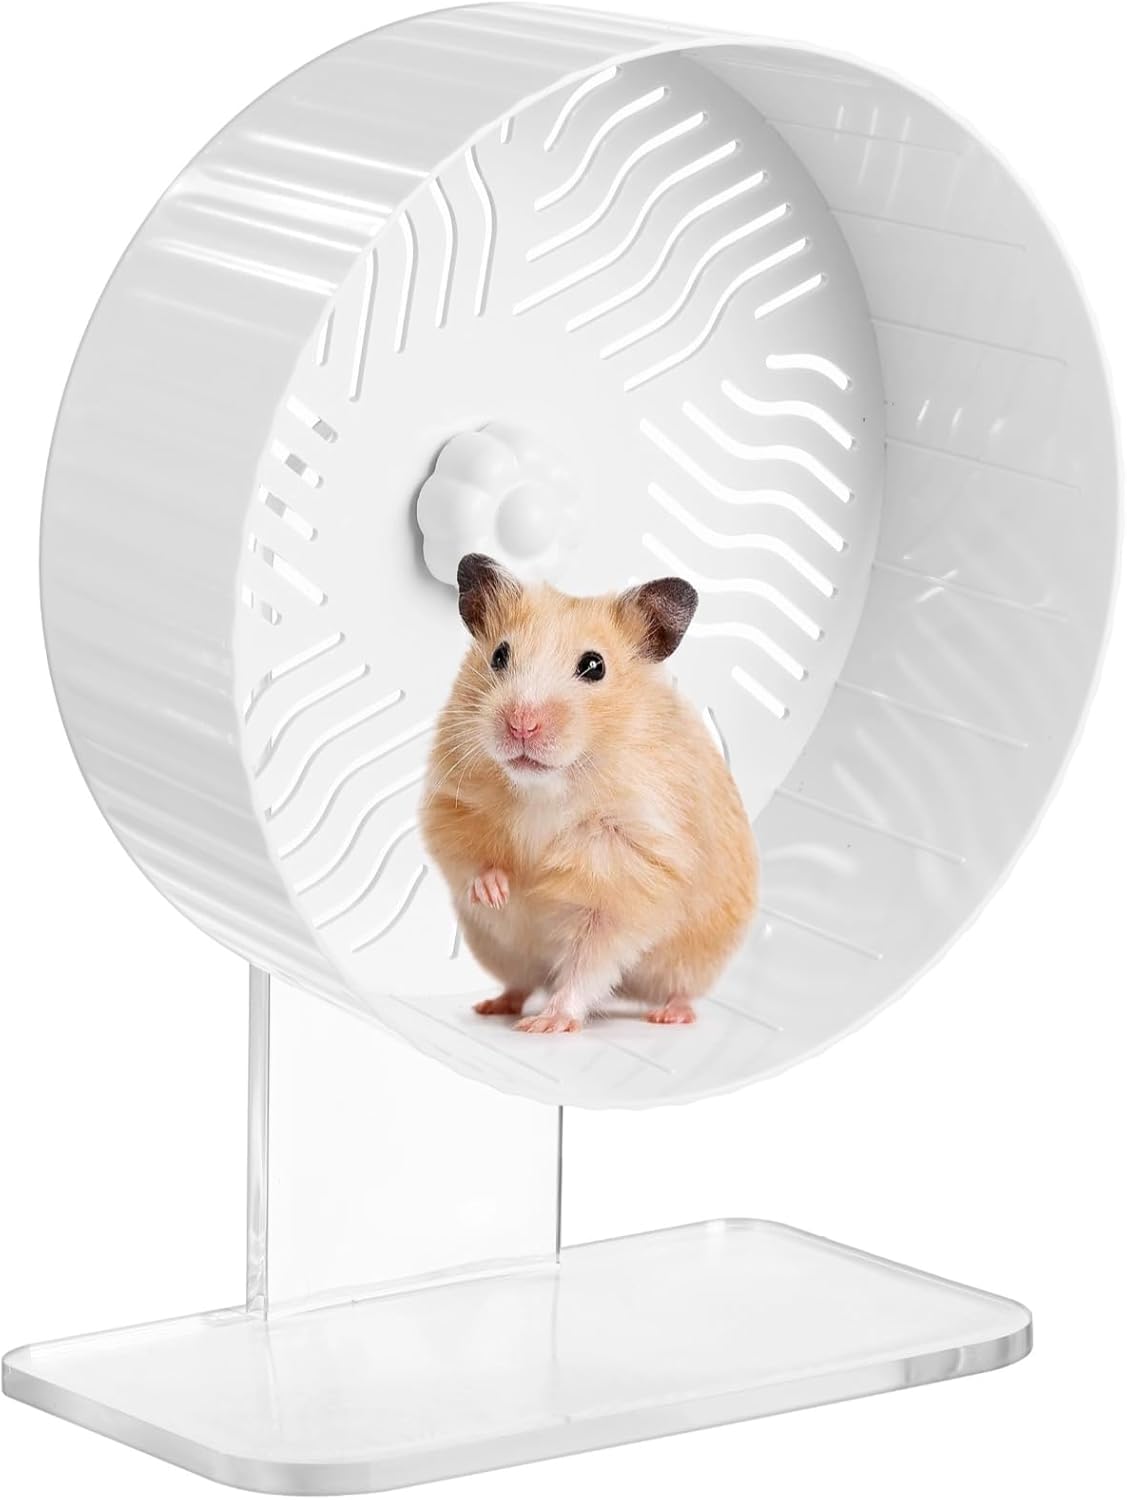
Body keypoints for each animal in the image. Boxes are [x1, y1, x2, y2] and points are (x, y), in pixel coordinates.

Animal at [420, 554, 758, 1033]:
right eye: (499, 655)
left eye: (594, 666)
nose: (521, 725)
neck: (546, 788)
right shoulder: (450, 802)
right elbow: (467, 857)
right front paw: (498, 892)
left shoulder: (628, 876)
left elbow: (589, 961)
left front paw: (547, 1024)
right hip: (501, 951)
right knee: (521, 982)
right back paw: (493, 1005)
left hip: (696, 958)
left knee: (678, 988)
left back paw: (668, 1015)